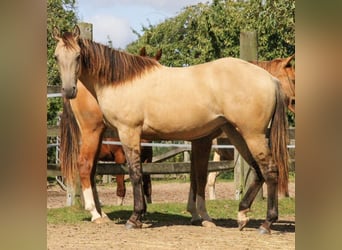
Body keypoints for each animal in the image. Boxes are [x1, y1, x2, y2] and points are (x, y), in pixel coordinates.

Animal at [54, 26, 288, 234]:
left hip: (252, 135)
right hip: (237, 133)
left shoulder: (129, 131)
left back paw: (267, 223)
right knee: (258, 170)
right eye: (56, 57)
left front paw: (135, 218)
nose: (69, 90)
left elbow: (136, 173)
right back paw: (242, 215)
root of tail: (270, 79)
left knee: (269, 170)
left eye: (78, 56)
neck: (121, 81)